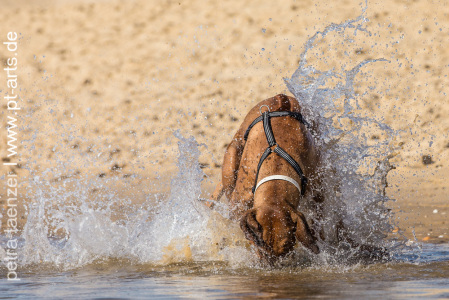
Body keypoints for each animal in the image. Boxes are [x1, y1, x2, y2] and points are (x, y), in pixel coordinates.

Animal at [210, 94, 322, 262]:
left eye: (287, 248)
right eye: (261, 246)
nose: (270, 265)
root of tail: (282, 98)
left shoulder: (317, 193)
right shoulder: (239, 204)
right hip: (231, 161)